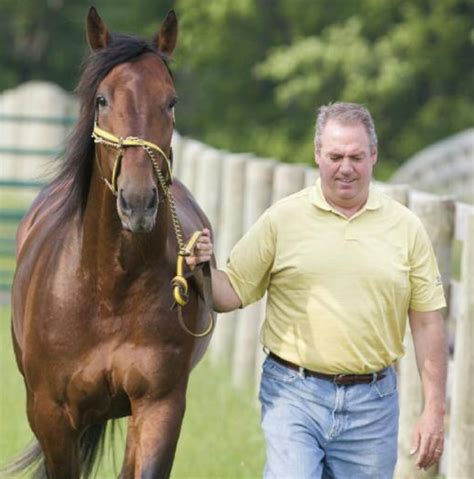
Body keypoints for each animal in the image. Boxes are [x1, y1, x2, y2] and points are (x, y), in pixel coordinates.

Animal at [4, 7, 215, 479]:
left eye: (171, 101)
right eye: (102, 99)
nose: (137, 202)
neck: (108, 291)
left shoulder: (159, 406)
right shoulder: (51, 414)